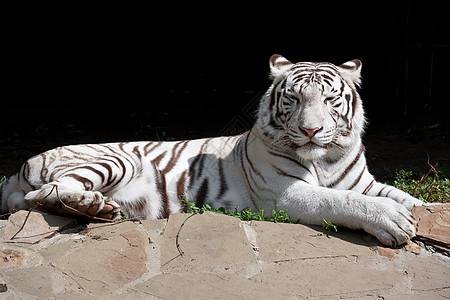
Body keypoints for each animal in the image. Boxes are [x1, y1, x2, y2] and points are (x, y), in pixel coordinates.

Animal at [0, 55, 424, 247]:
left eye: (330, 99)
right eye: (294, 99)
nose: (310, 130)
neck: (326, 158)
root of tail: (16, 170)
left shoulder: (364, 181)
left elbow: (407, 198)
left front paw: (418, 210)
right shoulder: (285, 193)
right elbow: (339, 201)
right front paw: (393, 221)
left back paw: (103, 210)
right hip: (115, 158)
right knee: (46, 194)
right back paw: (94, 206)